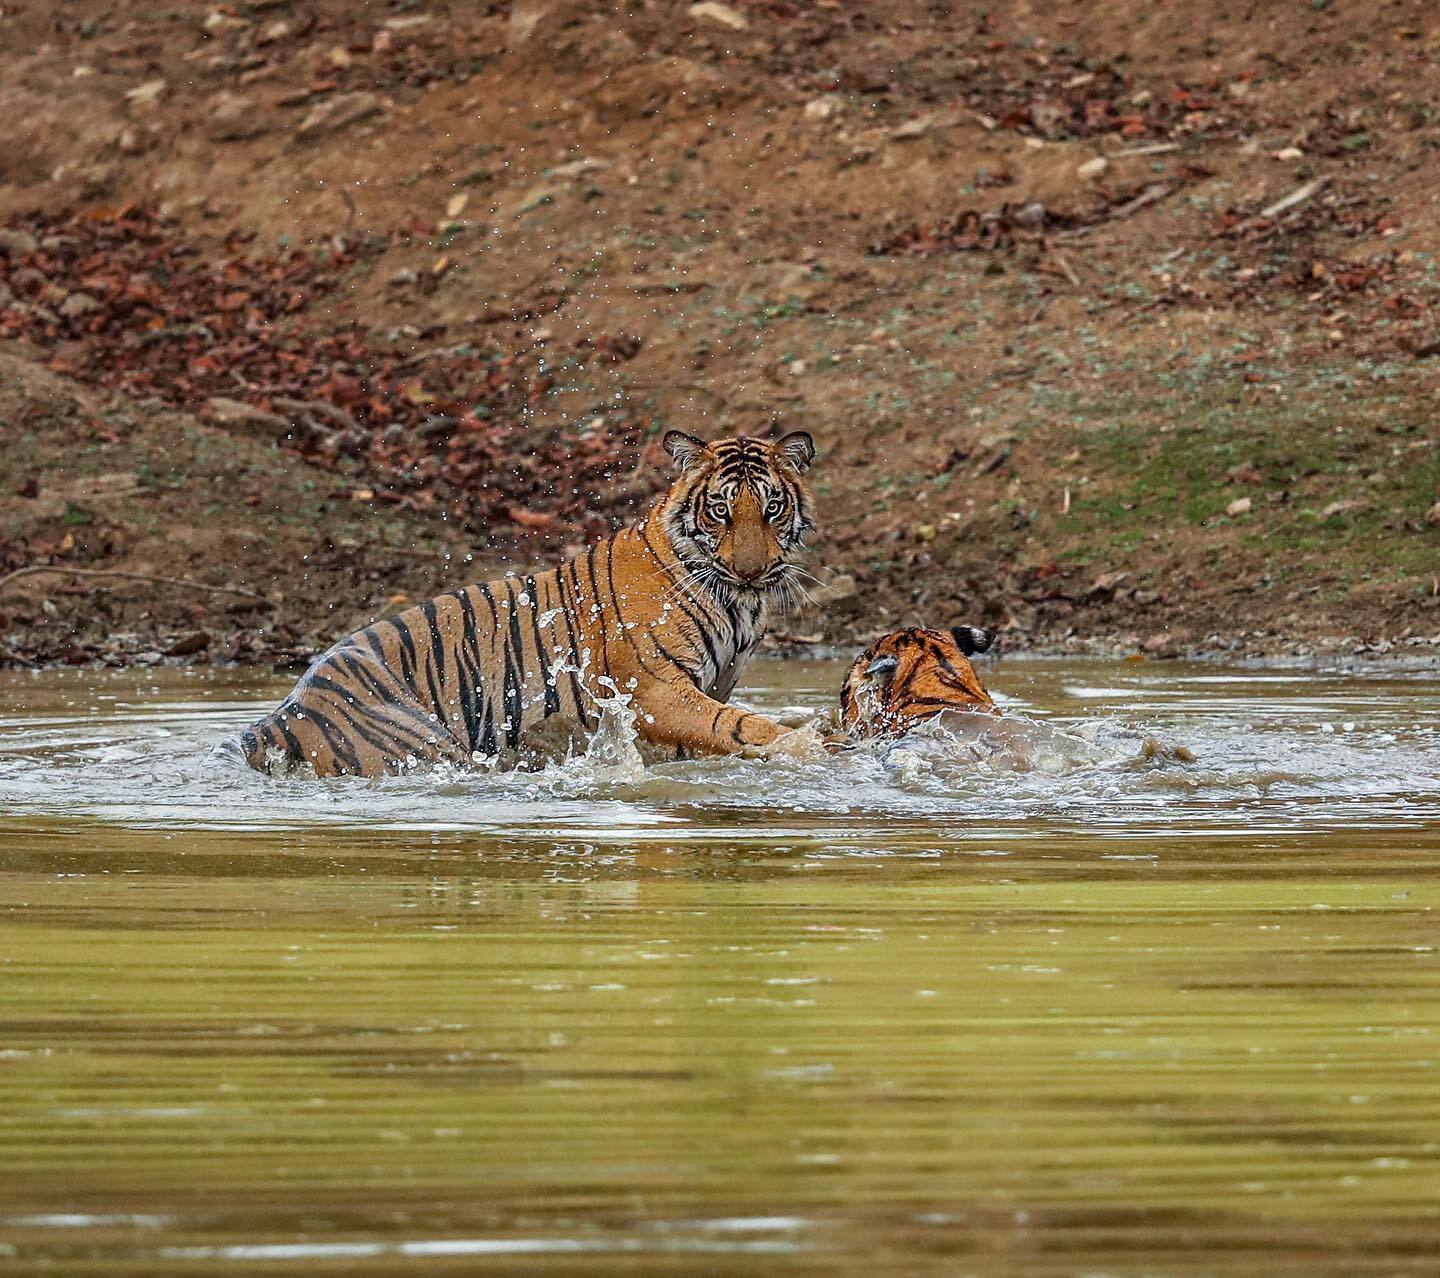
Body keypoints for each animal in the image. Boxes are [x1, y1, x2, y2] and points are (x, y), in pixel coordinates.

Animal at [234, 426, 823, 777]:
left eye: (771, 508)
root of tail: (271, 722)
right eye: (721, 511)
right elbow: (738, 724)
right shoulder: (653, 692)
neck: (736, 602)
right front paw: (808, 744)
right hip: (422, 743)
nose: (751, 570)